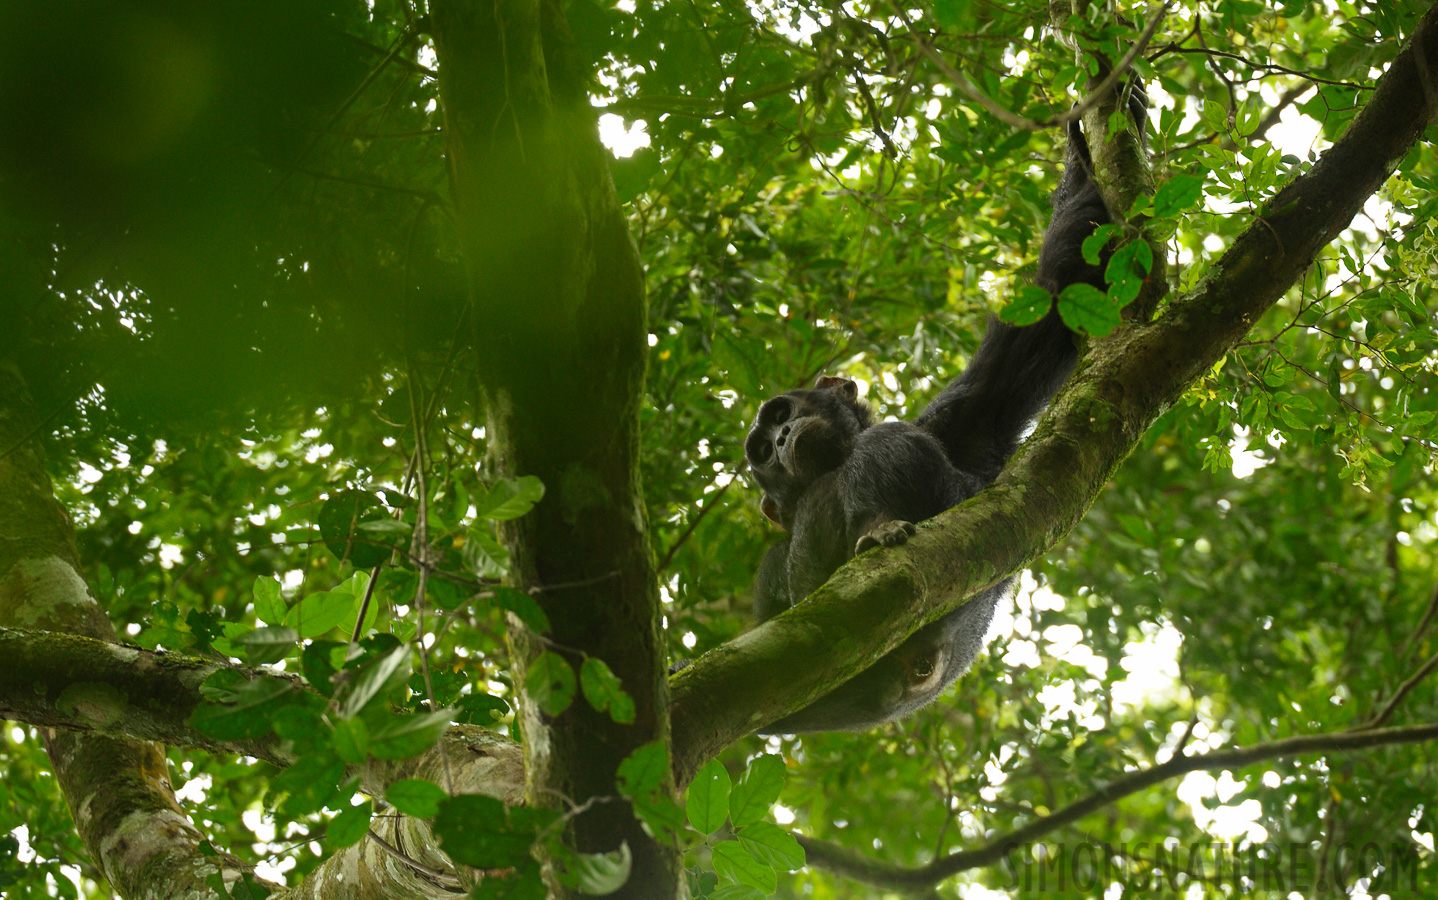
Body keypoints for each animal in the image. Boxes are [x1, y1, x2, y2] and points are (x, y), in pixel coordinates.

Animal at [742, 84, 1144, 733]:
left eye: (779, 417)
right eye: (762, 452)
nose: (778, 443)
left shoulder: (963, 417)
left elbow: (1056, 296)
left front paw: (1090, 142)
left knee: (887, 445)